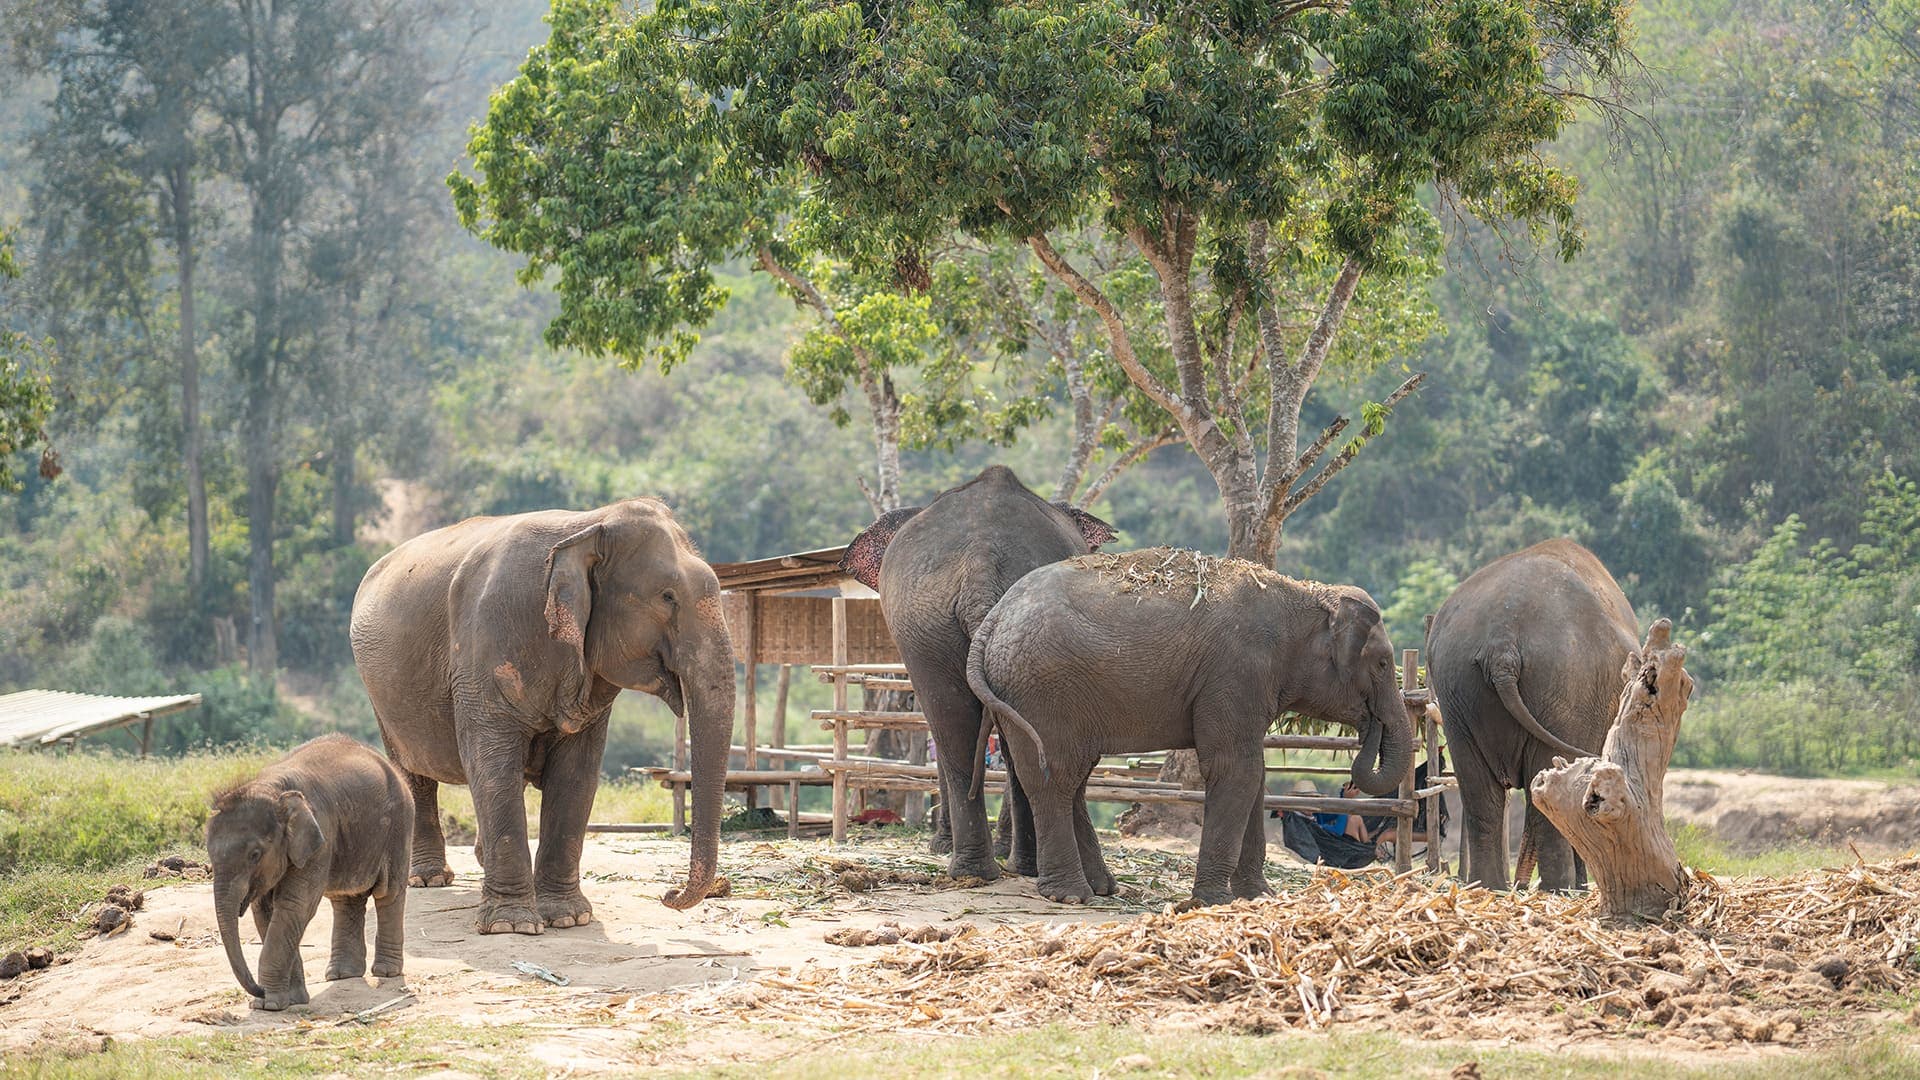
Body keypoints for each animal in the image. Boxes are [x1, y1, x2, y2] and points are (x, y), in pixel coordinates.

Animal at [207, 734, 411, 1011]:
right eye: (209, 854)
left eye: (255, 855)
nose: (258, 990)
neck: (272, 789)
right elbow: (266, 911)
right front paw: (289, 1000)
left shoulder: (320, 839)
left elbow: (294, 906)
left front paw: (269, 1005)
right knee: (346, 898)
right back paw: (342, 975)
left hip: (399, 826)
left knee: (388, 894)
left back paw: (385, 972)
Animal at [350, 497, 734, 935]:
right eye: (667, 596)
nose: (668, 895)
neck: (588, 524)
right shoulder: (484, 651)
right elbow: (492, 763)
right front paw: (511, 926)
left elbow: (577, 774)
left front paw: (568, 918)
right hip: (382, 694)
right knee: (414, 772)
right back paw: (427, 879)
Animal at [839, 465, 1115, 882]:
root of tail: (980, 562)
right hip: (930, 624)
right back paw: (998, 867)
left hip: (922, 623)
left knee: (954, 725)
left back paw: (979, 869)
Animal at [964, 548, 1415, 907]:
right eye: (1382, 663)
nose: (1368, 725)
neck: (1304, 595)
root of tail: (993, 620)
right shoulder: (1237, 671)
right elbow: (1236, 770)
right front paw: (1213, 902)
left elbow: (1255, 776)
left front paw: (1259, 897)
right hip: (1043, 691)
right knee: (1056, 777)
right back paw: (1072, 895)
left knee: (1071, 775)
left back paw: (1102, 888)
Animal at [1424, 538, 1639, 892]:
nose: (1521, 885)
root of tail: (1502, 643)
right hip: (1565, 688)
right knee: (1547, 780)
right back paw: (1560, 889)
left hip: (1457, 688)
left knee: (1480, 792)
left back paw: (1491, 886)